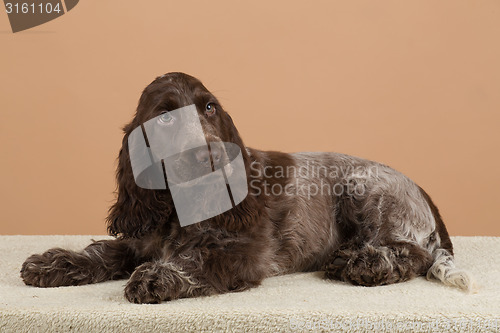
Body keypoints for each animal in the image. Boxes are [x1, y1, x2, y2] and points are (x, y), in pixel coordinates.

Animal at [19, 71, 472, 302]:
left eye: (209, 108)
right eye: (165, 116)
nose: (211, 155)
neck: (181, 206)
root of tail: (421, 189)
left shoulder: (245, 251)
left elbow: (196, 259)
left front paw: (156, 278)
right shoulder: (140, 237)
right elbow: (104, 252)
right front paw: (52, 264)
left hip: (362, 189)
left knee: (412, 253)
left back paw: (362, 263)